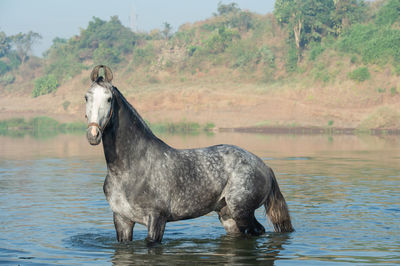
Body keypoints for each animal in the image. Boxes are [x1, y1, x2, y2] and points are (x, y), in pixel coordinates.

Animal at [84, 65, 294, 244]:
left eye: (109, 98)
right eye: (87, 97)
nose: (93, 135)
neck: (131, 168)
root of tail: (263, 165)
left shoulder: (157, 219)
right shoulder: (122, 220)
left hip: (243, 213)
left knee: (258, 232)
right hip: (228, 216)